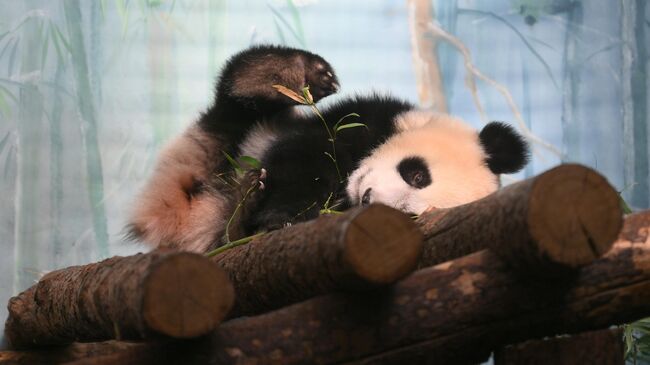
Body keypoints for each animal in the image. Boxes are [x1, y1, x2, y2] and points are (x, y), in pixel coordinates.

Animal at [126, 44, 528, 252]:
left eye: (409, 214)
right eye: (416, 174)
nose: (367, 198)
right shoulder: (370, 116)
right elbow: (306, 155)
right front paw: (282, 216)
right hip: (228, 143)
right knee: (236, 100)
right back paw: (291, 74)